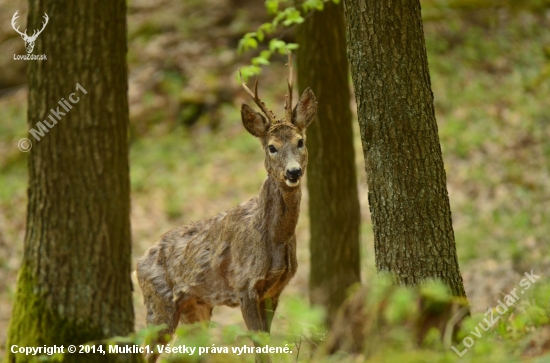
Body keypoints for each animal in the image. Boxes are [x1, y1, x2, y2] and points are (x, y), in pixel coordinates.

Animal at [138, 52, 316, 363]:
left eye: (300, 141)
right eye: (271, 147)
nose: (293, 172)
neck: (274, 237)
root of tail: (138, 263)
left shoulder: (274, 290)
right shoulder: (245, 286)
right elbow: (259, 348)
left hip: (196, 307)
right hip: (157, 306)